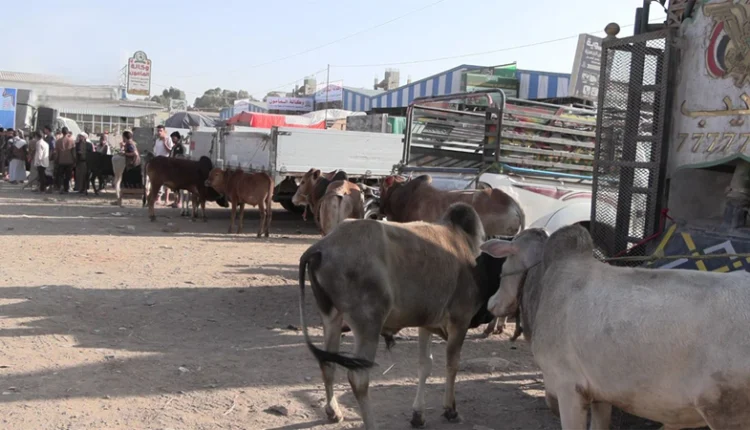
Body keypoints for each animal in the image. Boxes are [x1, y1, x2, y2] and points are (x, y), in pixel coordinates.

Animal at [298, 203, 510, 429]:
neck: (476, 256)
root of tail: (321, 248)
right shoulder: (459, 320)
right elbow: (452, 364)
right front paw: (450, 409)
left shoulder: (427, 323)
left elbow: (425, 365)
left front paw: (418, 414)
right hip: (368, 325)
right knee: (358, 378)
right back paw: (370, 423)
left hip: (331, 318)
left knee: (327, 364)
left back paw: (333, 411)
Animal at [480, 224, 750, 430]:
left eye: (504, 261)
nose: (492, 303)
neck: (544, 283)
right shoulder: (600, 393)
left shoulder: (568, 387)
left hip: (726, 412)